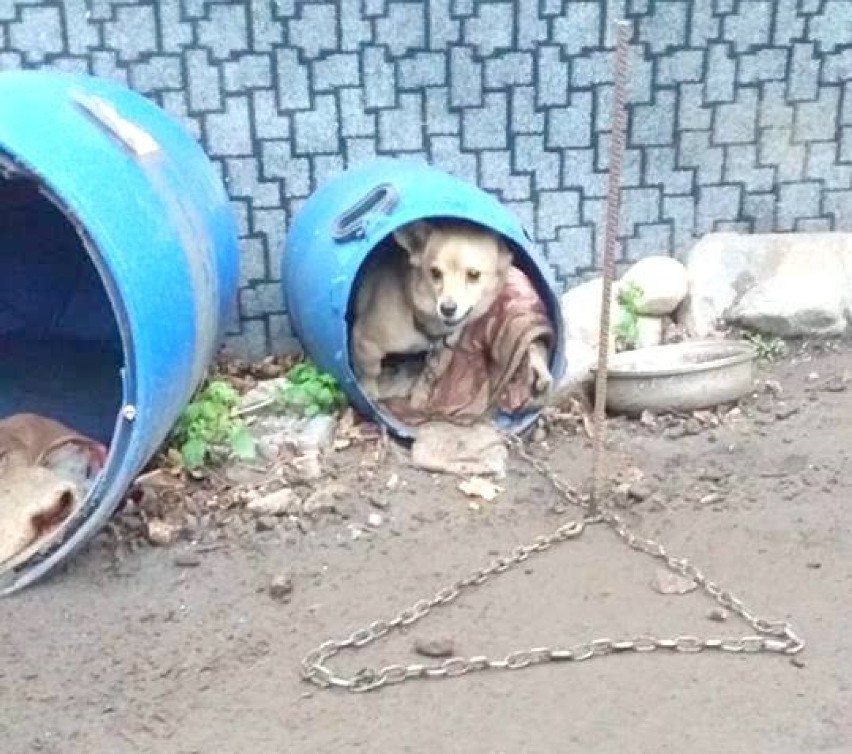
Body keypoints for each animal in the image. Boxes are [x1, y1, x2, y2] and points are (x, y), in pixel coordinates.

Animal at [350, 219, 556, 428]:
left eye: (473, 274)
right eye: (435, 273)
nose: (447, 308)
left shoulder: (443, 351)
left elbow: (428, 377)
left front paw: (419, 397)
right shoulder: (364, 340)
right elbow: (370, 372)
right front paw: (370, 396)